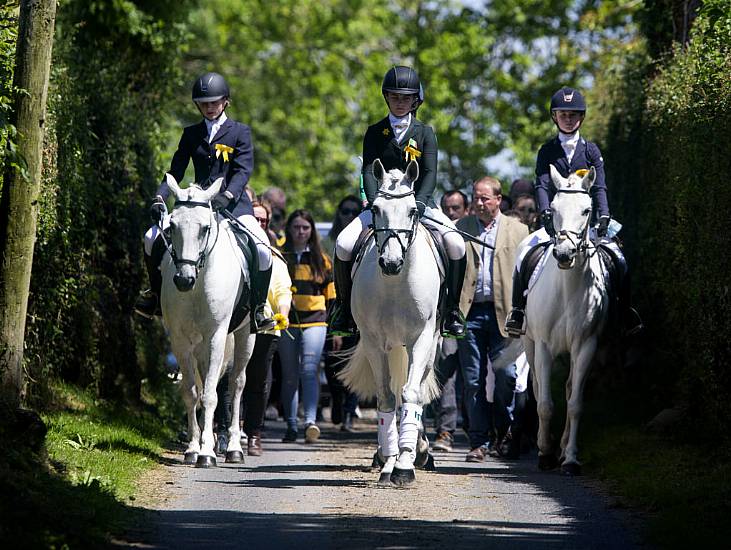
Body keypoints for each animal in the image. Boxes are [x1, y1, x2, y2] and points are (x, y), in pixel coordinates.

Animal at [162, 175, 256, 468]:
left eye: (204, 228)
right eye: (171, 226)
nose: (183, 280)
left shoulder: (216, 335)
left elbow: (213, 394)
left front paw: (207, 454)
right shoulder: (180, 339)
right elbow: (193, 392)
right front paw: (194, 448)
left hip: (245, 335)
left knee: (237, 384)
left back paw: (234, 448)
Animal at [340, 160, 444, 488]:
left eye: (412, 210)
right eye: (375, 209)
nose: (391, 263)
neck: (395, 284)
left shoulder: (421, 339)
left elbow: (410, 395)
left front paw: (405, 464)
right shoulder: (374, 342)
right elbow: (386, 397)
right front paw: (388, 462)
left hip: (429, 346)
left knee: (418, 390)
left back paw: (420, 451)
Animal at [524, 166, 608, 476]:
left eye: (587, 210)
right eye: (553, 209)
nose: (563, 254)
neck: (568, 288)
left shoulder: (586, 346)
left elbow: (575, 404)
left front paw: (570, 459)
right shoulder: (544, 346)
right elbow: (545, 403)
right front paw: (544, 453)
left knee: (571, 387)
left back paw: (561, 449)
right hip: (529, 343)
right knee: (537, 388)